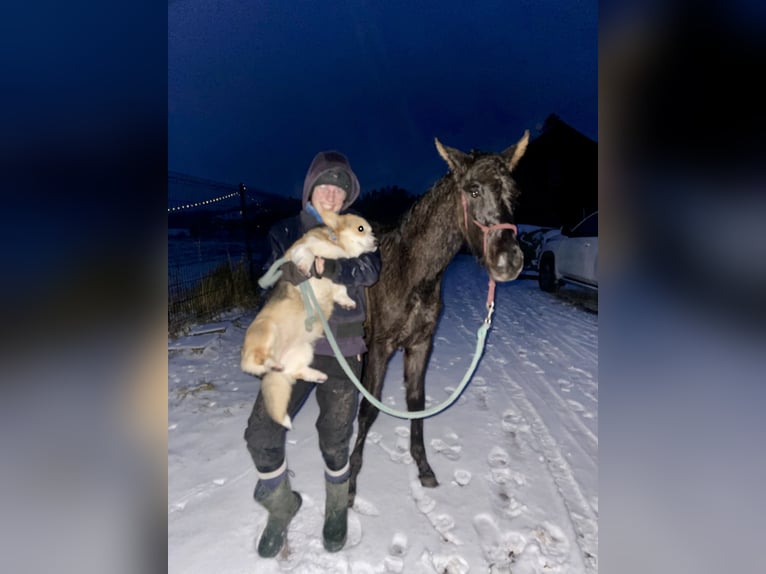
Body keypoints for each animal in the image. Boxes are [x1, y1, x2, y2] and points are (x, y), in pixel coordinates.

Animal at [352, 130, 532, 508]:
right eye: (473, 190)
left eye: (514, 192)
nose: (509, 261)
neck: (410, 272)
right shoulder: (380, 347)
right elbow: (368, 410)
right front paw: (349, 484)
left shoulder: (421, 344)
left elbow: (416, 403)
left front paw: (423, 469)